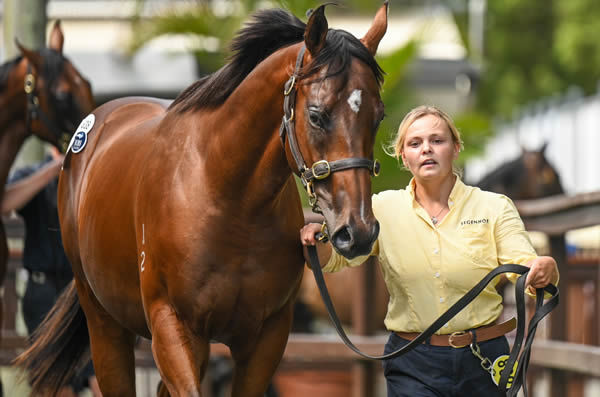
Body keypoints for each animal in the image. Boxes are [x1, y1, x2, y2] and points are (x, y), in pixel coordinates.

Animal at [14, 3, 390, 396]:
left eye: (378, 116)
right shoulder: (172, 324)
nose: (358, 231)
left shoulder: (266, 338)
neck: (230, 201)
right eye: (316, 115)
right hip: (105, 326)